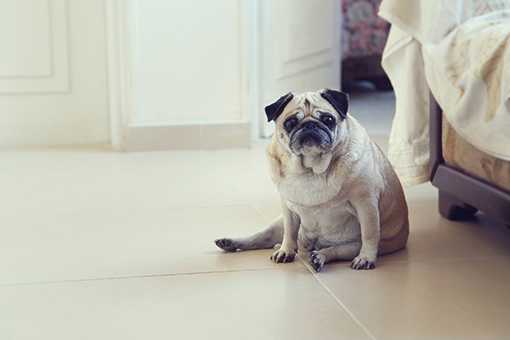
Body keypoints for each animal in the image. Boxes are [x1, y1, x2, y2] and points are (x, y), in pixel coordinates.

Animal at [213, 88, 408, 270]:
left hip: (352, 246)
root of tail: (315, 244)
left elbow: (370, 234)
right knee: (262, 238)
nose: (310, 125)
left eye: (328, 120)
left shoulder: (366, 204)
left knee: (334, 251)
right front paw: (286, 251)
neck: (310, 168)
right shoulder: (288, 209)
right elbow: (289, 233)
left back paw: (319, 258)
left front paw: (367, 258)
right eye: (290, 123)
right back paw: (231, 243)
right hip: (278, 223)